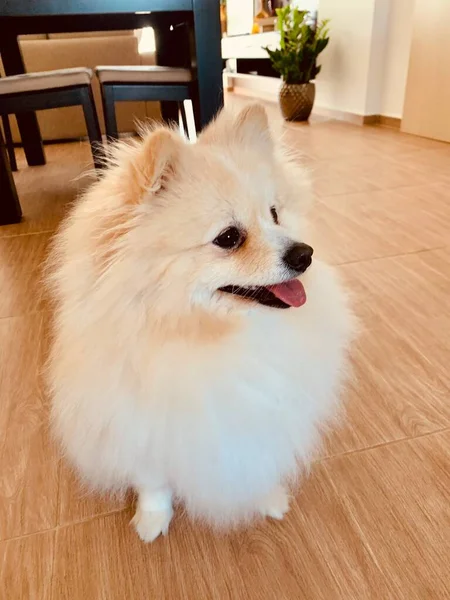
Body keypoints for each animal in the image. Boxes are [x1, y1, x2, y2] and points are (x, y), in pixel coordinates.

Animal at [46, 104, 356, 544]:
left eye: (275, 215)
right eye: (228, 237)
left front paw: (267, 497)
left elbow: (259, 457)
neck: (221, 335)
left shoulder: (268, 415)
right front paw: (153, 519)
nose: (304, 253)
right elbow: (153, 480)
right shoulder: (140, 425)